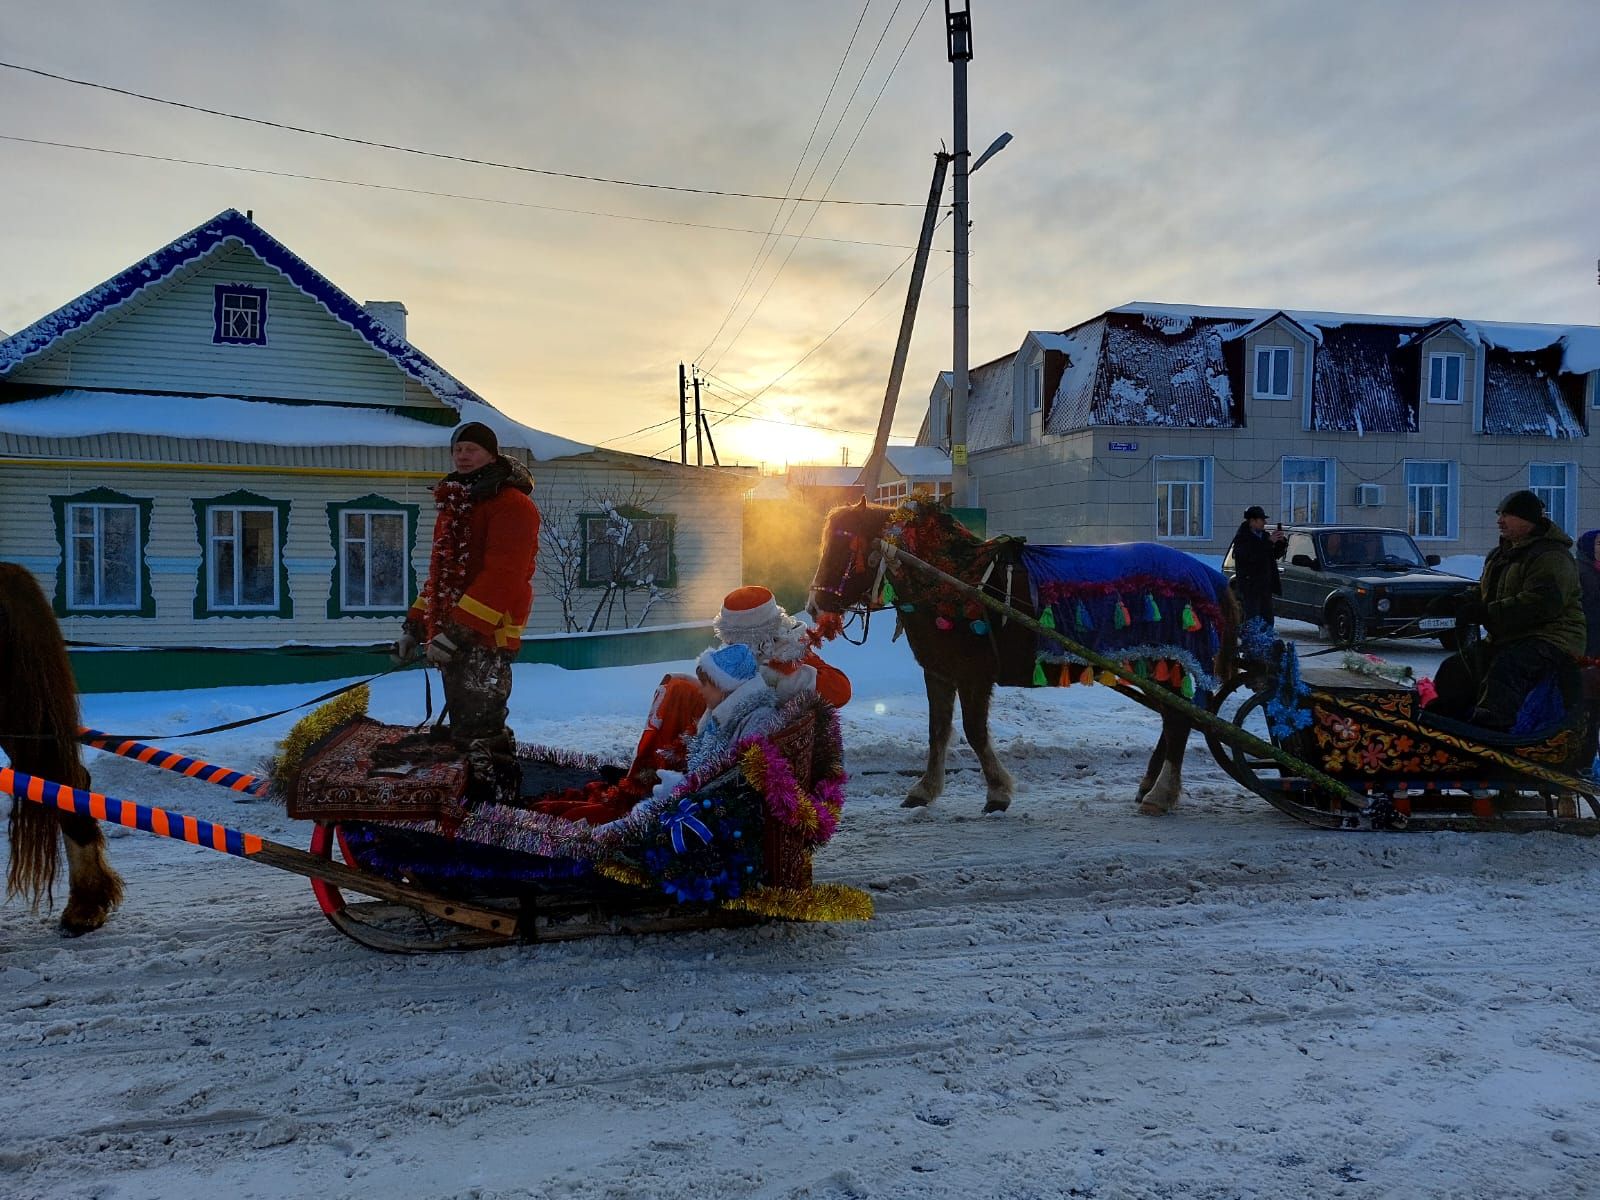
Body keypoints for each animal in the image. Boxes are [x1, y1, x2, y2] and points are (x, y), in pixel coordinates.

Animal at [812, 499, 1235, 819]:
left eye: (843, 548)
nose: (815, 605)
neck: (953, 580)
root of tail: (1208, 576)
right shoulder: (939, 673)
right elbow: (938, 732)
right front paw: (925, 790)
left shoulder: (974, 676)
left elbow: (975, 733)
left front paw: (998, 792)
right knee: (1171, 719)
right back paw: (1150, 786)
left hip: (1171, 664)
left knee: (1178, 722)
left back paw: (1160, 795)